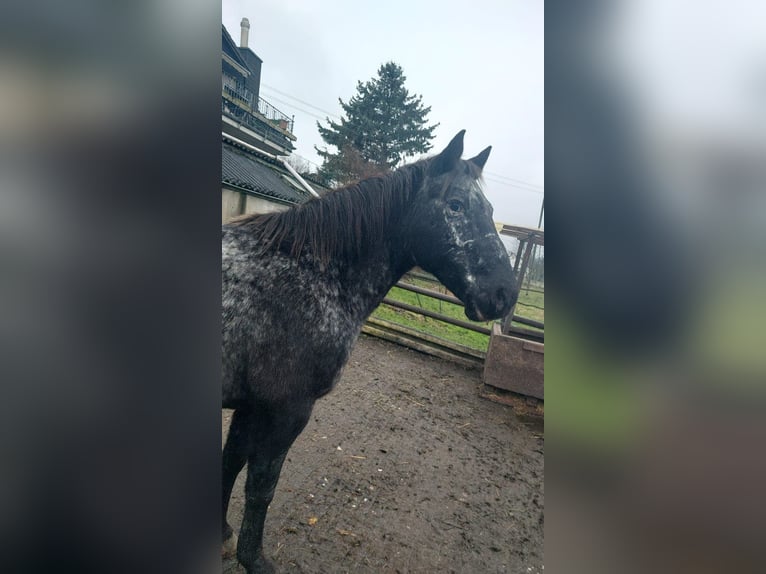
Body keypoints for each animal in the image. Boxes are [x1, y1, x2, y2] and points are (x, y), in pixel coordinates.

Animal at [222, 130, 520, 574]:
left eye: (489, 209)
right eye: (455, 205)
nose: (504, 294)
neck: (310, 274)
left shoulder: (251, 405)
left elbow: (230, 462)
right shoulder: (286, 410)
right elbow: (262, 487)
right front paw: (254, 560)